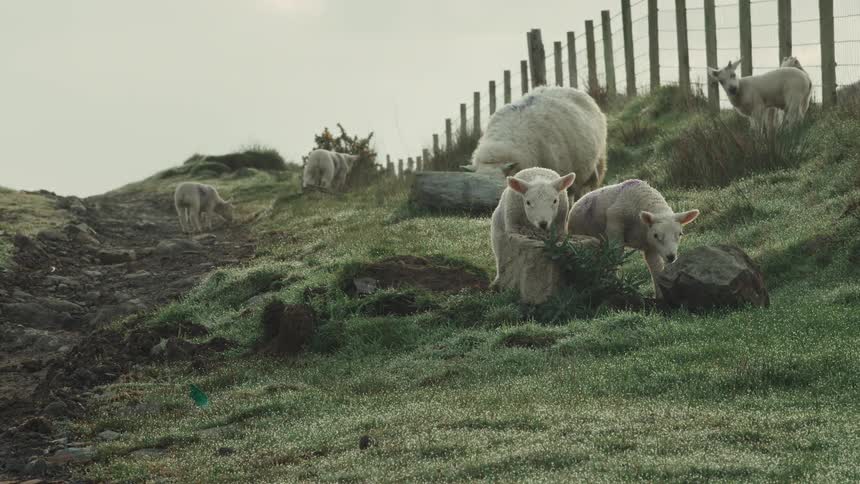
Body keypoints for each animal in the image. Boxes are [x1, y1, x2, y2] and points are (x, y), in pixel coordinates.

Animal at [568, 179, 700, 299]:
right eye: (656, 235)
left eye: (680, 234)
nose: (671, 257)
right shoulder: (615, 226)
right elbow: (615, 256)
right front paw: (614, 285)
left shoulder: (651, 247)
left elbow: (655, 267)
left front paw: (661, 296)